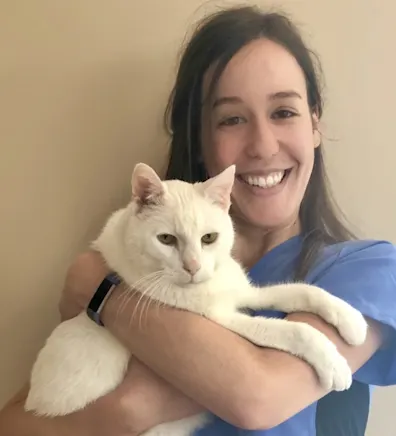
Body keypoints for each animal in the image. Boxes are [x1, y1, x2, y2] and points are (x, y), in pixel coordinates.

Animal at [25, 164, 368, 436]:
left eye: (209, 238)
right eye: (166, 239)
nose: (192, 267)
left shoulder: (246, 291)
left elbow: (301, 290)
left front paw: (352, 320)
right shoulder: (221, 321)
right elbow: (292, 330)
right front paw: (334, 364)